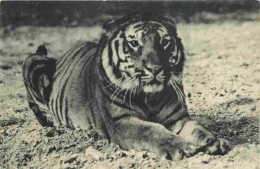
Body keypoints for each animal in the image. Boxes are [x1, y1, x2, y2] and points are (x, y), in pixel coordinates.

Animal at [22, 13, 230, 160]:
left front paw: (215, 140)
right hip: (34, 62)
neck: (151, 97)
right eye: (134, 43)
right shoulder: (121, 122)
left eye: (164, 42)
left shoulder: (177, 118)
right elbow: (151, 131)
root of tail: (61, 56)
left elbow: (198, 127)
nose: (155, 69)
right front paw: (181, 147)